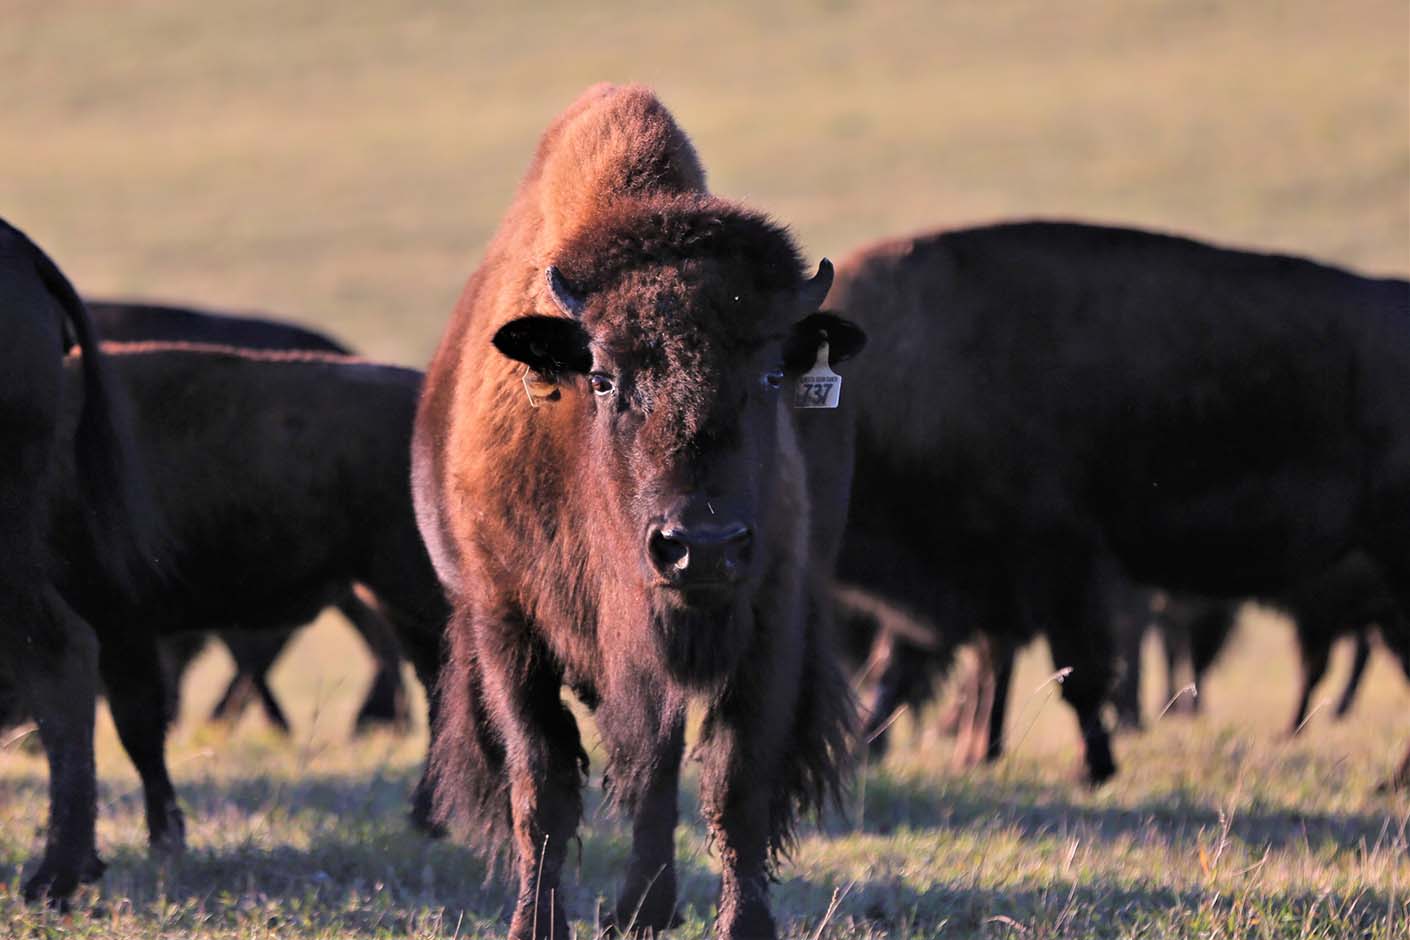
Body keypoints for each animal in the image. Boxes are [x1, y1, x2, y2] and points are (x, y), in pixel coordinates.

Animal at [414, 84, 863, 940]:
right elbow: (543, 783)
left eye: (769, 375)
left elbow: (733, 781)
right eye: (604, 378)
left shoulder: (768, 614)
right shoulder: (506, 622)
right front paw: (540, 923)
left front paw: (736, 924)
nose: (702, 545)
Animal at [834, 221, 1409, 784]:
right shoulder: (983, 580)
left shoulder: (1056, 558)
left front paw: (1092, 769)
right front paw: (962, 755)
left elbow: (1076, 674)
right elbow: (946, 667)